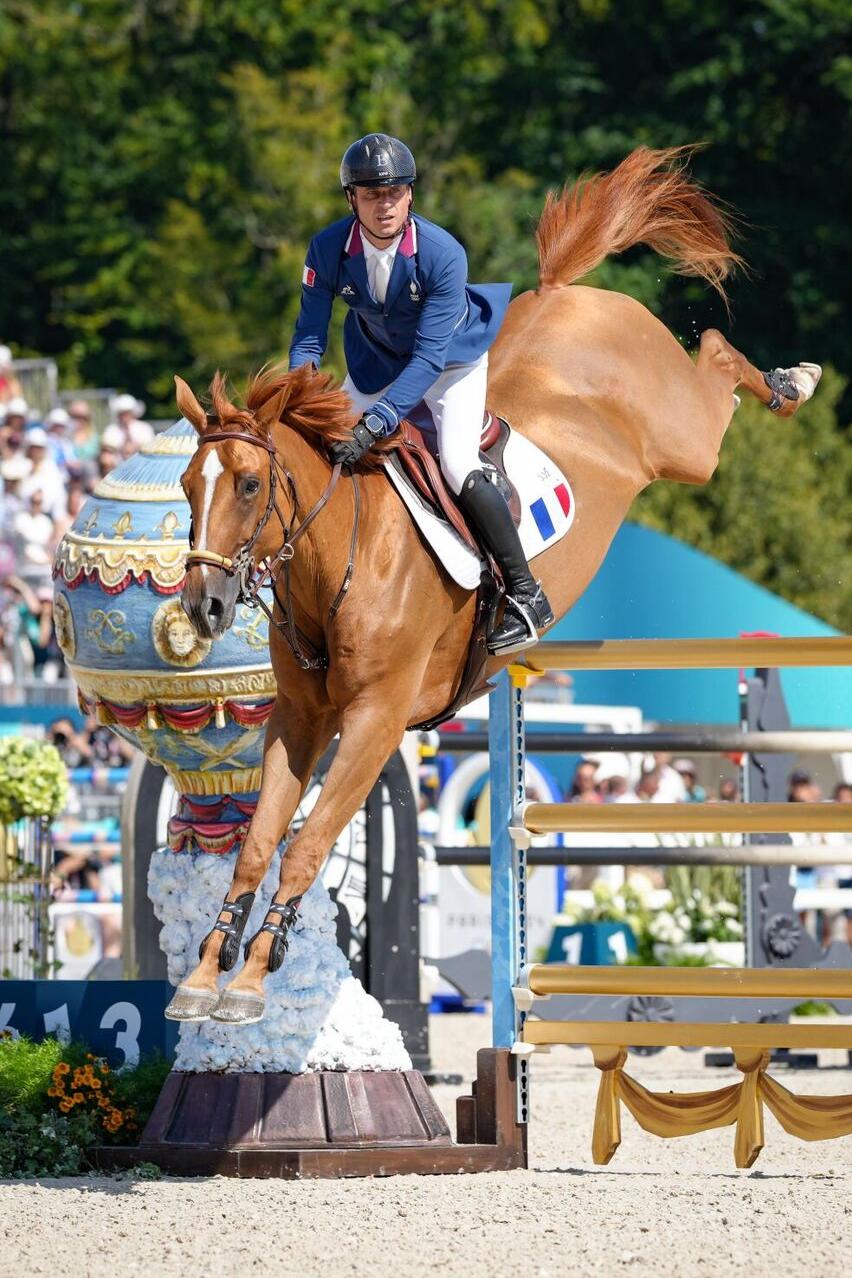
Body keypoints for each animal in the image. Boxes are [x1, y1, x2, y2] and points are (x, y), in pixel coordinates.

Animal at [164, 146, 817, 1027]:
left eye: (246, 486)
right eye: (186, 488)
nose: (203, 608)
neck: (340, 560)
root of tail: (563, 292)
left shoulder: (375, 722)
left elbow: (305, 845)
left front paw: (254, 977)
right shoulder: (299, 719)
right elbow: (257, 841)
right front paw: (209, 973)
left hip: (686, 443)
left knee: (715, 356)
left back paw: (793, 379)